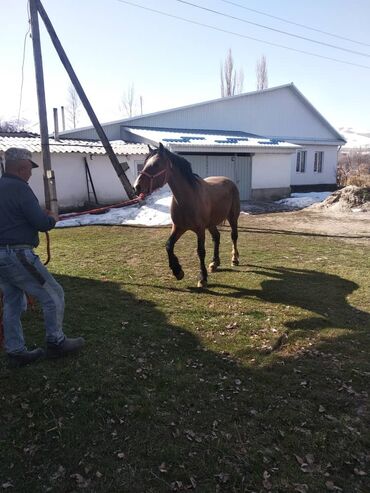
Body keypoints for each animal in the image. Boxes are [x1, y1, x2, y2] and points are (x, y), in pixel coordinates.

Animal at [133, 143, 240, 288]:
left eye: (156, 165)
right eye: (144, 163)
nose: (136, 187)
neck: (188, 198)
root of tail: (229, 181)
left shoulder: (200, 230)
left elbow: (200, 251)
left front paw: (202, 278)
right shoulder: (178, 227)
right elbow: (169, 245)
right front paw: (177, 271)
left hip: (232, 217)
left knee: (234, 236)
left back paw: (234, 259)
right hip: (211, 224)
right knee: (217, 237)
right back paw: (214, 263)